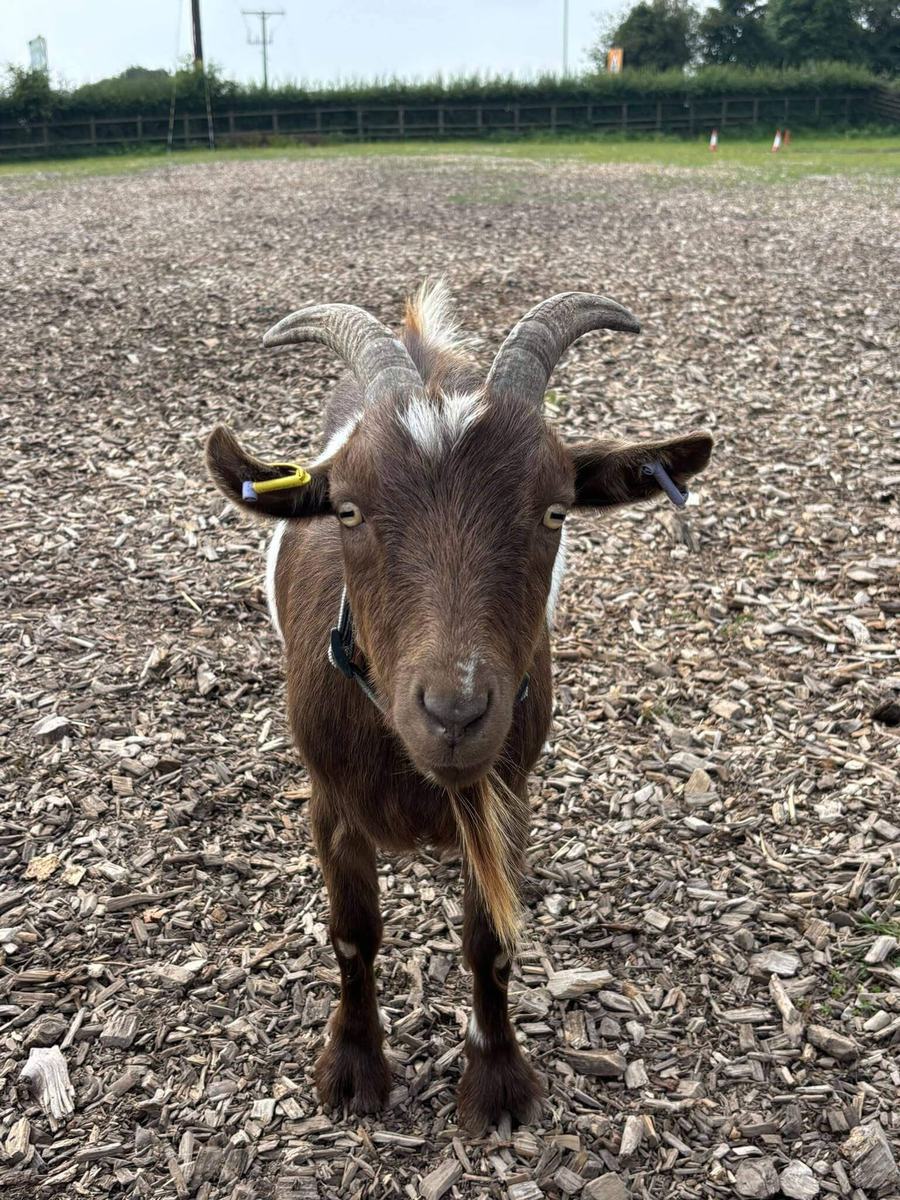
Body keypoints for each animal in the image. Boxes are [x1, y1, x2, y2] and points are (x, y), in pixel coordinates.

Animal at [206, 282, 713, 1131]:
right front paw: (353, 1072)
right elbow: (353, 935)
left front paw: (497, 1081)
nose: (454, 713)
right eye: (346, 510)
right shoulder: (329, 801)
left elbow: (490, 941)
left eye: (554, 512)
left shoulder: (506, 792)